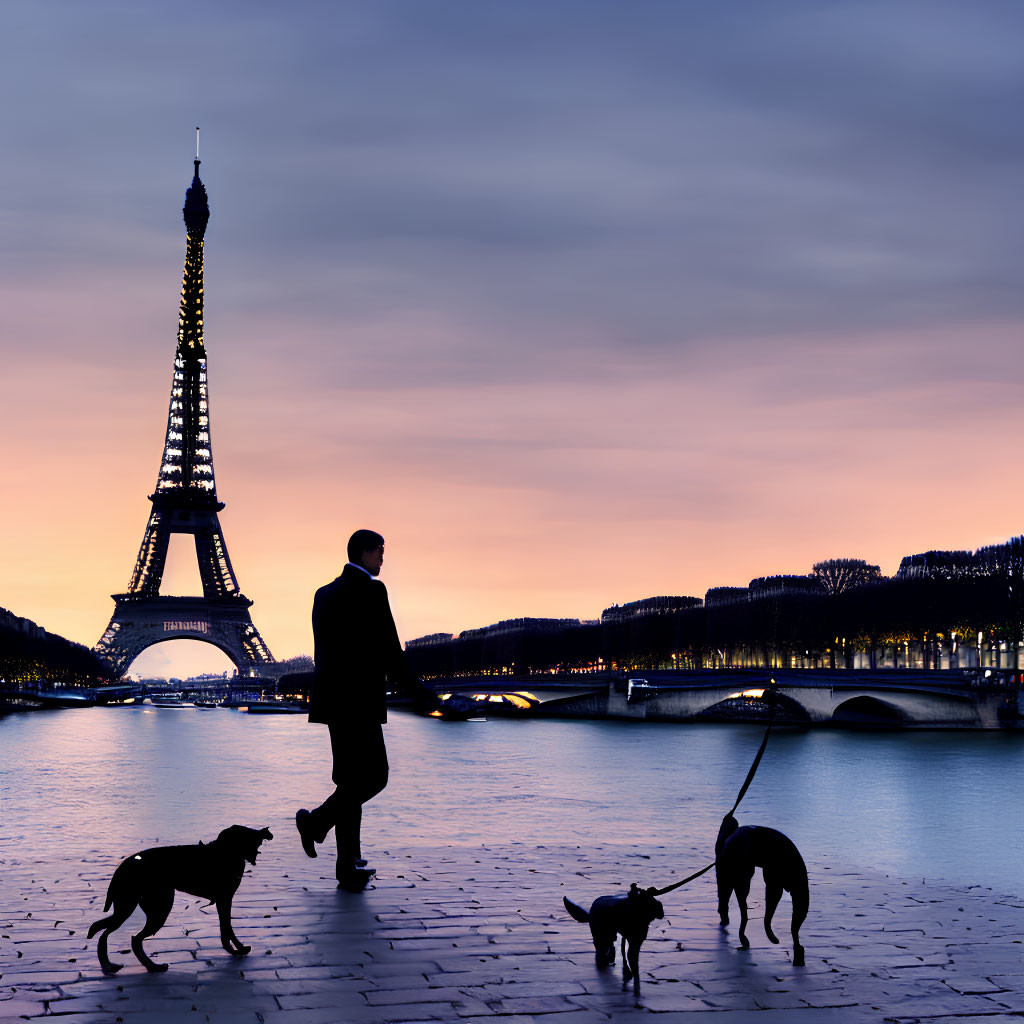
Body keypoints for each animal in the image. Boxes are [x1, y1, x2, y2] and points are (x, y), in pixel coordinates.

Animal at [88, 819, 272, 970]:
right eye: (248, 834)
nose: (266, 832)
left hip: (130, 907)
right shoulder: (225, 899)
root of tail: (123, 867)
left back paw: (127, 966)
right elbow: (227, 928)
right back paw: (143, 966)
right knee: (128, 937)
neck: (226, 851)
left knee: (107, 932)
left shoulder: (223, 901)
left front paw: (233, 949)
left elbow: (225, 930)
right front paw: (238, 949)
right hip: (154, 908)